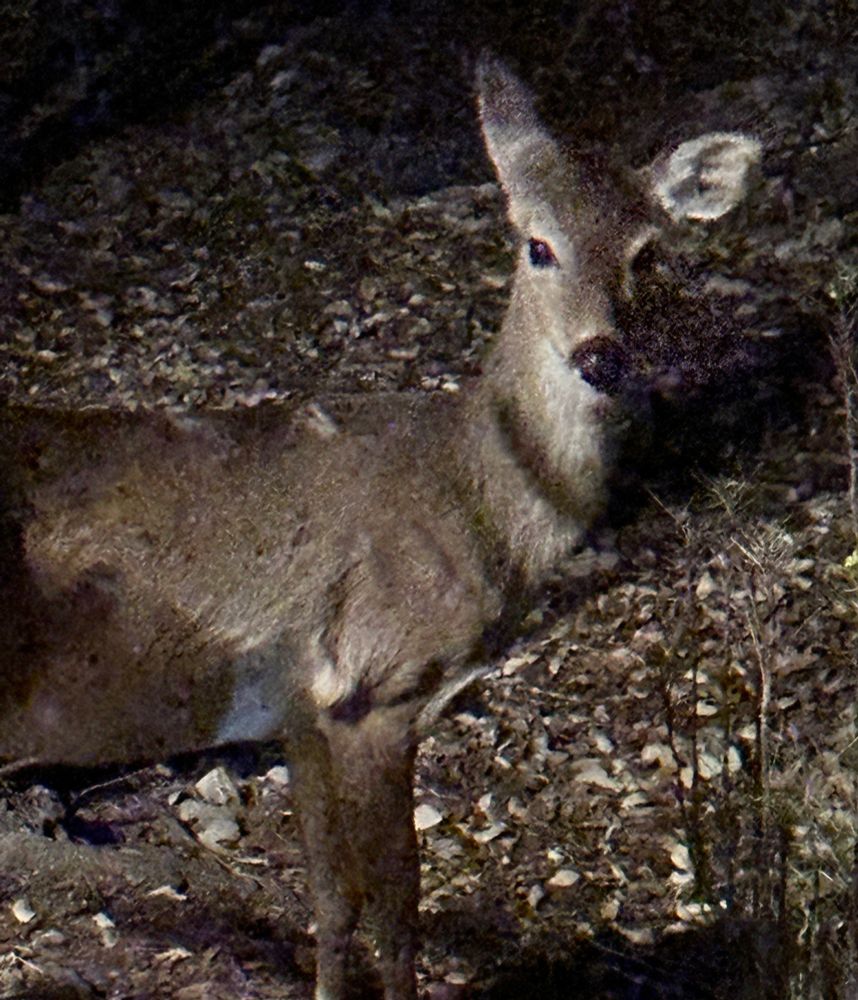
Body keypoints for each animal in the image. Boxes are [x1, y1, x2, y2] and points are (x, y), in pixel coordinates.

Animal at [0, 56, 760, 1000]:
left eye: (647, 253)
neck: (480, 499)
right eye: (537, 243)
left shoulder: (301, 711)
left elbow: (332, 901)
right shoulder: (380, 685)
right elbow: (397, 913)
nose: (600, 356)